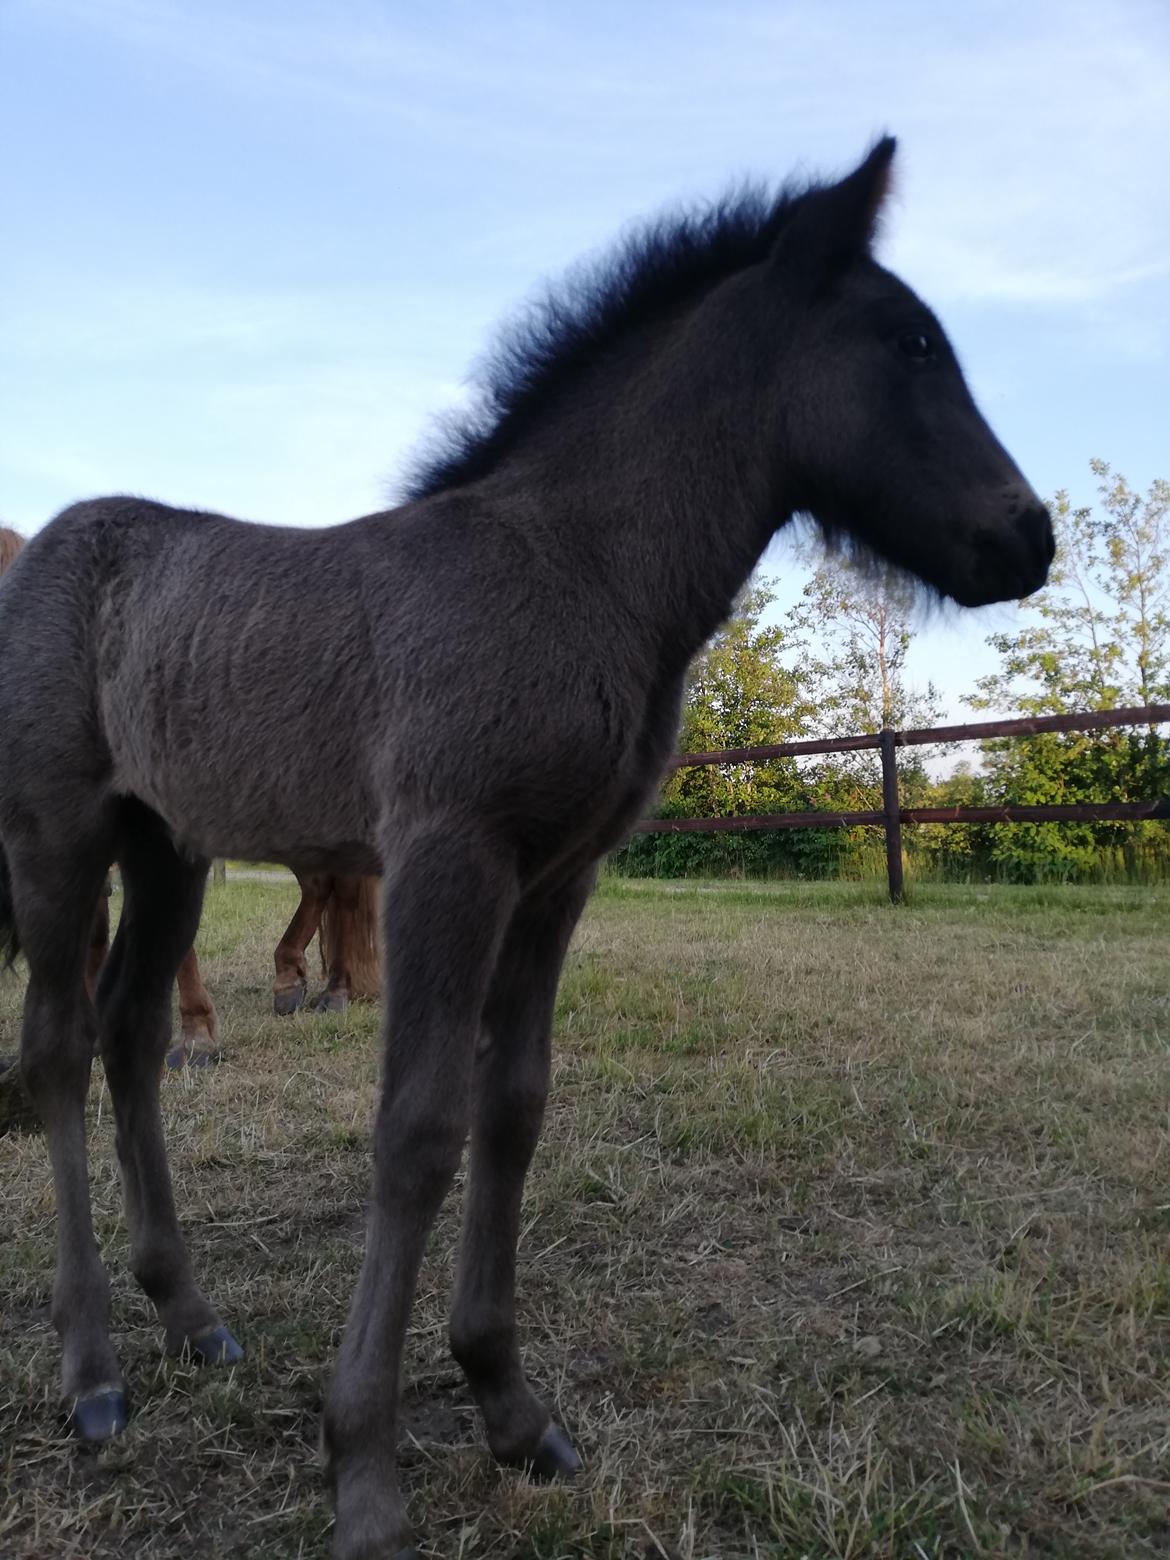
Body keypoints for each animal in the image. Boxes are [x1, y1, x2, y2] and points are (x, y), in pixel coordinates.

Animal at [0, 140, 1054, 1553]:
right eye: (912, 343)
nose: (1029, 535)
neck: (571, 566)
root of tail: (51, 546)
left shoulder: (556, 881)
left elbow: (513, 1110)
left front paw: (507, 1405)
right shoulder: (449, 858)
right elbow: (417, 1129)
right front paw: (364, 1465)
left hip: (171, 847)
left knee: (133, 1034)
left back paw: (192, 1315)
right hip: (58, 837)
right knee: (59, 1050)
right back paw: (94, 1370)